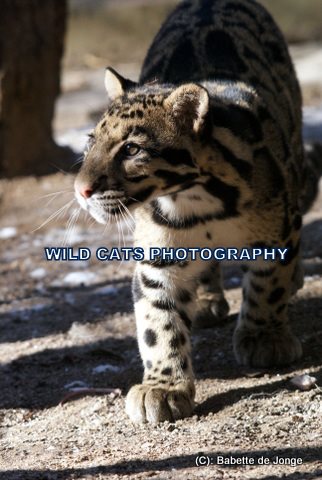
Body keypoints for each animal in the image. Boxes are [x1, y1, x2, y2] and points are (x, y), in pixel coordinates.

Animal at [73, 0, 320, 422]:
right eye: (91, 142)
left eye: (131, 149)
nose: (81, 190)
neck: (196, 199)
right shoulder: (157, 258)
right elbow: (157, 322)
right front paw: (162, 386)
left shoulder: (277, 231)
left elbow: (267, 284)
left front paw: (264, 336)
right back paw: (205, 300)